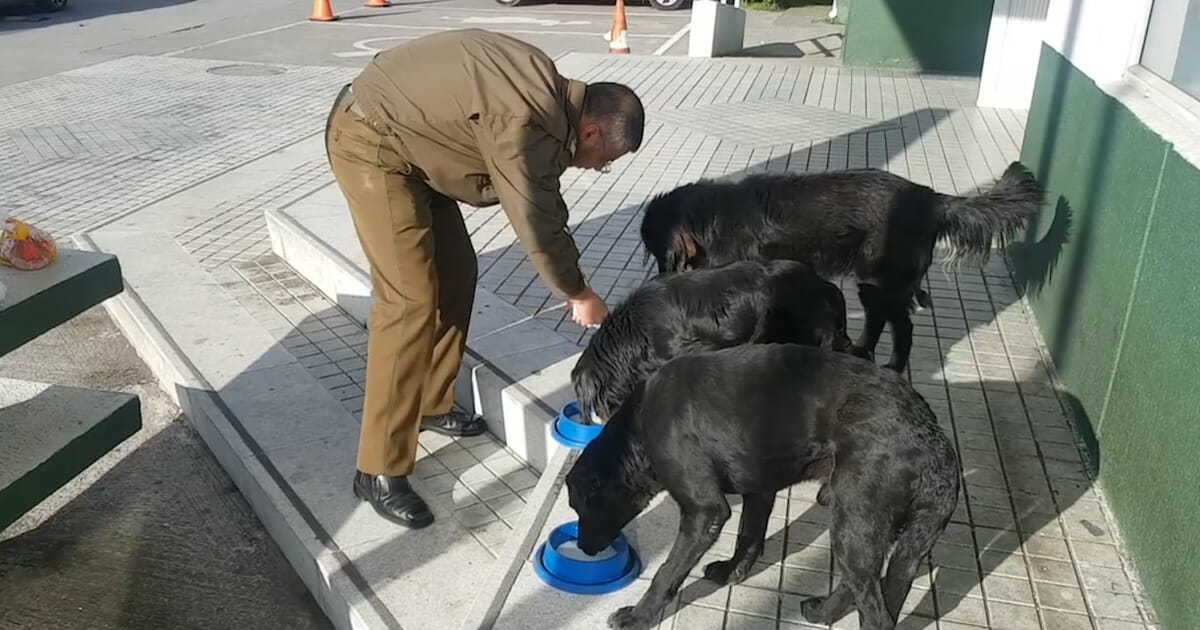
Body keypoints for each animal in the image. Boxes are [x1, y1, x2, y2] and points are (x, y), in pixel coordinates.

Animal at [566, 343, 960, 628]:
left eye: (580, 506)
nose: (584, 548)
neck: (638, 425)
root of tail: (935, 443)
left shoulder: (704, 511)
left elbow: (667, 572)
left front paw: (638, 617)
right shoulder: (759, 488)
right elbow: (749, 534)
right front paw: (732, 572)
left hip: (854, 520)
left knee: (875, 612)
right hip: (872, 530)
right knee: (862, 585)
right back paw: (821, 613)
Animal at [643, 159, 1046, 372]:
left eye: (661, 254)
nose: (658, 280)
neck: (710, 216)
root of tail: (933, 200)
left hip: (882, 282)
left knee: (901, 327)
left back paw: (891, 366)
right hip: (873, 285)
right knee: (880, 322)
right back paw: (863, 352)